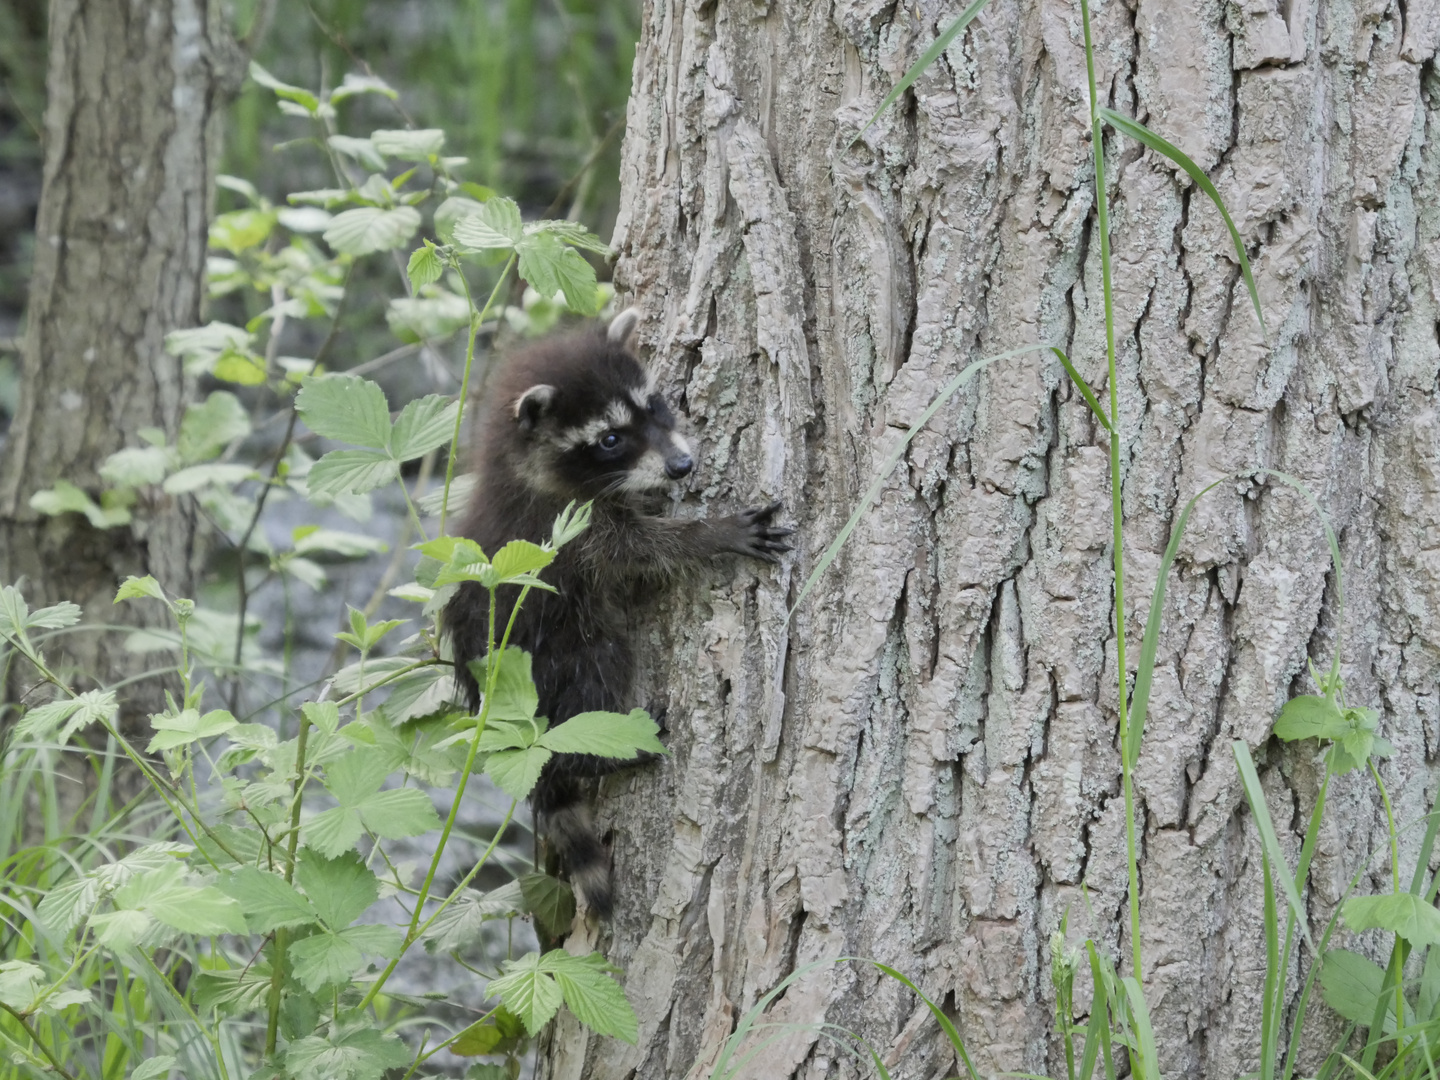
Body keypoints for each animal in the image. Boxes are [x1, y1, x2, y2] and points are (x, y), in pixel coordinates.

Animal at [446, 311, 794, 921]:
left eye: (653, 405)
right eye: (609, 439)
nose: (682, 466)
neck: (520, 462)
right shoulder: (570, 529)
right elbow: (643, 550)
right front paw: (710, 534)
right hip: (561, 651)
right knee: (590, 687)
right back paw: (599, 752)